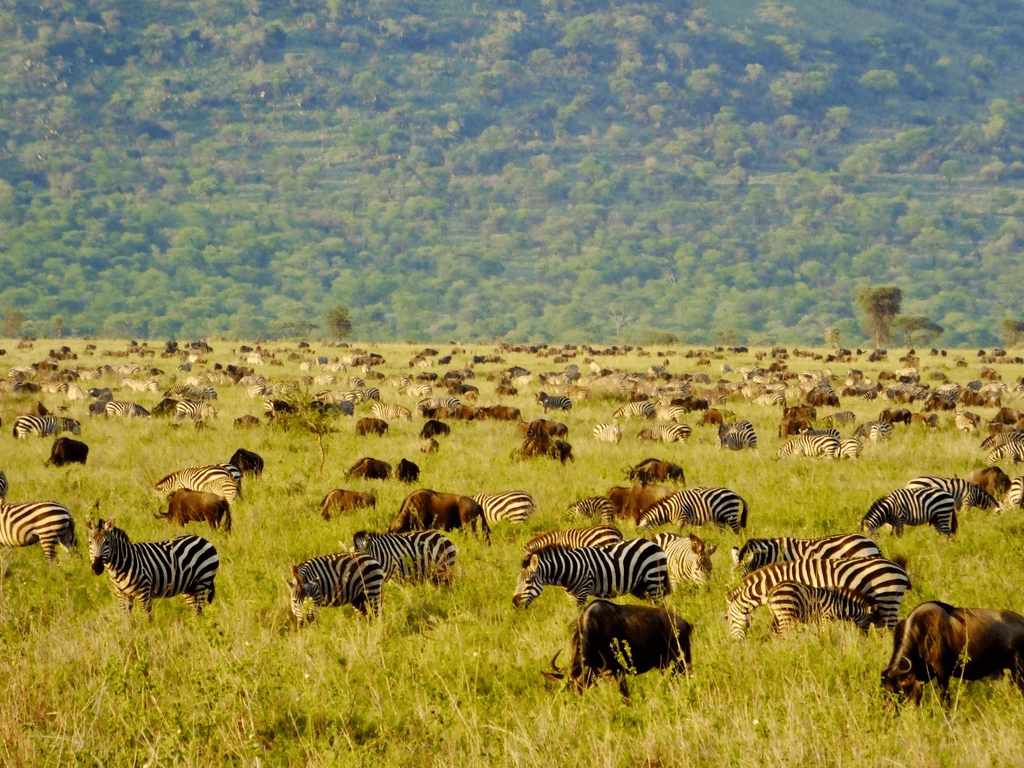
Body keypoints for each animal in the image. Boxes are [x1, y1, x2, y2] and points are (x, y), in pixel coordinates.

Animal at [87, 518, 219, 617]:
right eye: (90, 543)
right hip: (189, 587)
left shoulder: (144, 591)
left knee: (199, 609)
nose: (97, 568)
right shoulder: (122, 594)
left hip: (202, 581)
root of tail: (203, 540)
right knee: (196, 611)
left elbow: (148, 616)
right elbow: (126, 617)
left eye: (107, 542)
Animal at [511, 538, 669, 608]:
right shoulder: (570, 595)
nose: (515, 604)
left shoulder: (583, 589)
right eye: (517, 582)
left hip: (653, 580)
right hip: (640, 587)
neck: (568, 568)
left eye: (528, 582)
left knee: (661, 604)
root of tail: (652, 543)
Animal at [726, 556, 911, 638]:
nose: (736, 643)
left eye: (727, 619)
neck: (772, 584)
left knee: (892, 628)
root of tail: (900, 569)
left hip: (887, 599)